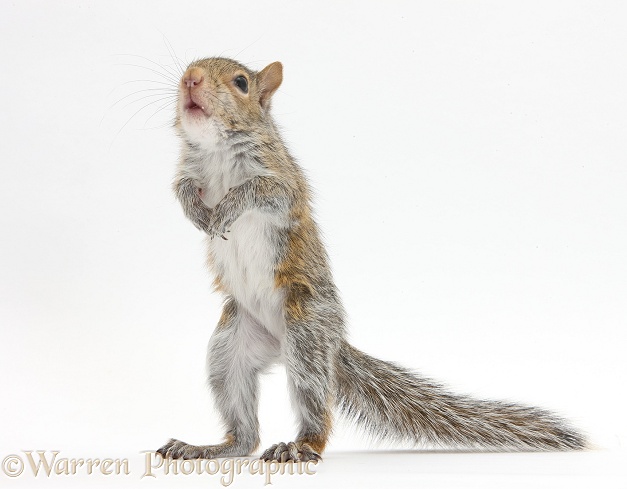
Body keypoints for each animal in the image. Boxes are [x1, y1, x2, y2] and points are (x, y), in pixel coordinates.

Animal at [155, 57, 588, 462]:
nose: (191, 78)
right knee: (245, 435)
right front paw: (197, 212)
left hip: (305, 335)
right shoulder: (188, 171)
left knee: (314, 403)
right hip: (229, 350)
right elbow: (181, 189)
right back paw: (207, 448)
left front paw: (228, 207)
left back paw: (300, 446)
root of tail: (315, 342)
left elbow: (264, 191)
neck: (217, 149)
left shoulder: (283, 181)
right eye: (190, 67)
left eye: (241, 83)